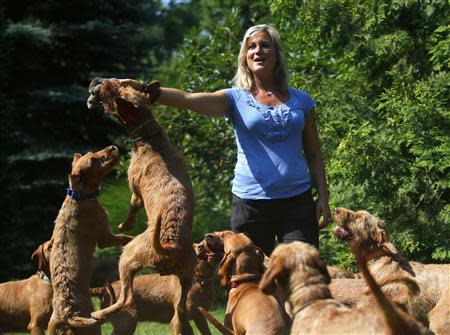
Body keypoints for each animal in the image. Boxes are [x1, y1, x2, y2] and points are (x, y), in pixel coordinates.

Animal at [49, 146, 134, 334]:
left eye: (91, 153)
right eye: (93, 160)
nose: (112, 147)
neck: (79, 196)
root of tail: (67, 314)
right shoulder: (105, 238)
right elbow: (125, 237)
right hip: (93, 326)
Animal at [87, 79, 196, 335]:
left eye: (112, 93)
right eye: (121, 83)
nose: (98, 81)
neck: (149, 137)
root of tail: (170, 246)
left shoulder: (135, 192)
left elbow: (132, 206)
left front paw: (124, 224)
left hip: (128, 257)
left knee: (125, 298)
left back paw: (99, 313)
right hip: (186, 277)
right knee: (181, 310)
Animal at [90, 243, 221, 335]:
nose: (201, 246)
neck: (200, 282)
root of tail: (103, 289)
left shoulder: (200, 317)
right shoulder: (177, 321)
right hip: (126, 323)